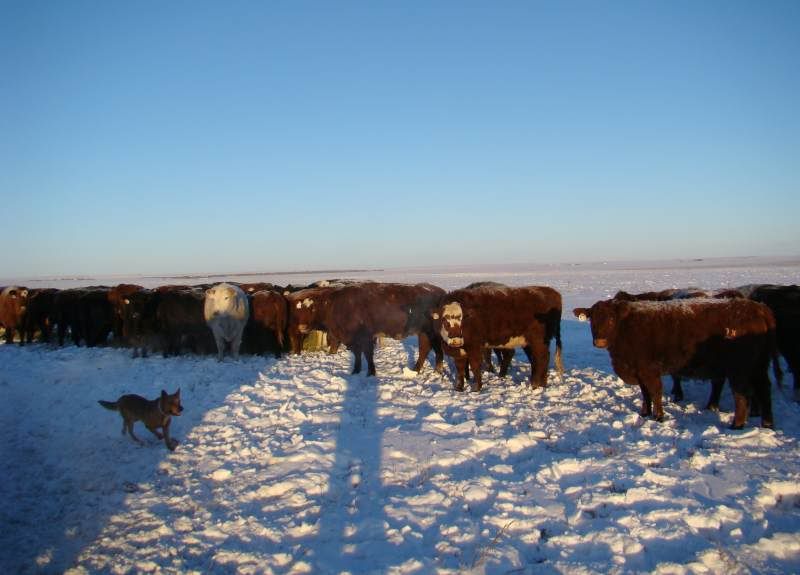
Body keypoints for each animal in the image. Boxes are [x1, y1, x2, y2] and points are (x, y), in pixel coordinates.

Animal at [432, 285, 563, 392]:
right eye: (444, 320)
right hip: (533, 342)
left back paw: (535, 384)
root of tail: (553, 293)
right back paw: (542, 384)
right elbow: (460, 369)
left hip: (538, 341)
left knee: (541, 358)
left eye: (462, 319)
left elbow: (475, 366)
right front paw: (459, 388)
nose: (456, 340)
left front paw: (476, 388)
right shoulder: (459, 351)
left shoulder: (475, 347)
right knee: (541, 359)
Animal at [573, 298, 777, 428]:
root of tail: (760, 308)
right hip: (759, 366)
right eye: (592, 319)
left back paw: (737, 425)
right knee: (764, 389)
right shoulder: (638, 370)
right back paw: (767, 423)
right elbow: (645, 393)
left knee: (741, 395)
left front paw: (659, 416)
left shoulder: (649, 369)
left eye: (611, 319)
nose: (599, 342)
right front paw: (644, 412)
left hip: (739, 370)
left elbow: (655, 392)